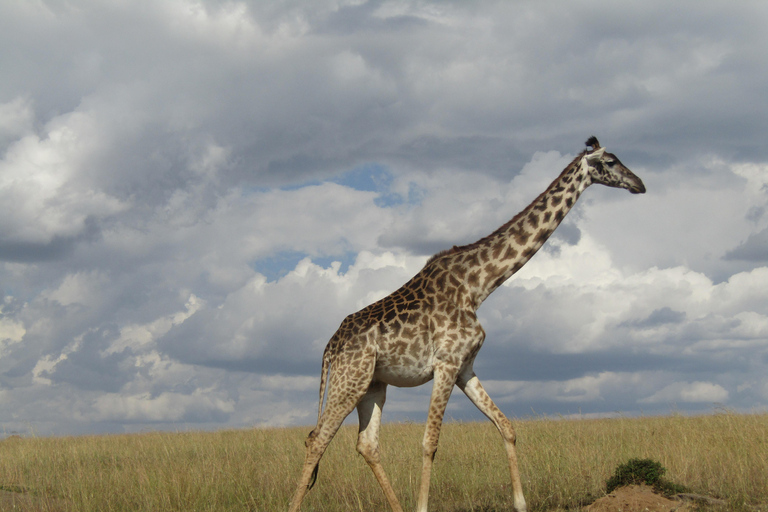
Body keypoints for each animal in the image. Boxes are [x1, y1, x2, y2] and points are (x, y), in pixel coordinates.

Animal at [284, 137, 644, 512]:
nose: (639, 184)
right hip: (349, 380)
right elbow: (429, 442)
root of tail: (329, 348)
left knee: (366, 444)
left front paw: (520, 503)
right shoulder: (446, 363)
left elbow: (506, 426)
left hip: (372, 384)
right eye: (611, 161)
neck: (479, 286)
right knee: (317, 439)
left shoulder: (465, 367)